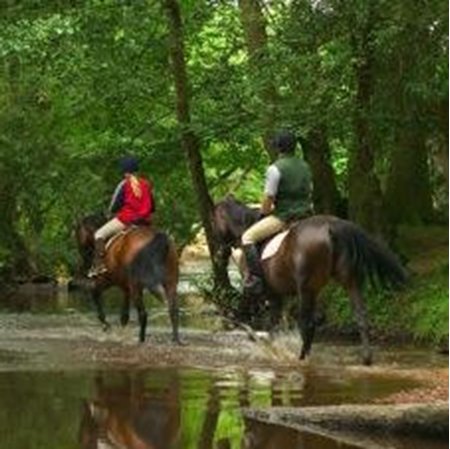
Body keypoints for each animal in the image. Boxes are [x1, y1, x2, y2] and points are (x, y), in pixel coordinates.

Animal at [75, 214, 179, 344]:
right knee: (173, 309)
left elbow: (94, 292)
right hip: (170, 282)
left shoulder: (106, 280)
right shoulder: (125, 287)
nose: (83, 263)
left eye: (77, 235)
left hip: (136, 286)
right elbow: (124, 315)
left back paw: (141, 340)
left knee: (143, 314)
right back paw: (176, 339)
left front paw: (106, 325)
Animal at [213, 196, 406, 364]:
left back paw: (301, 358)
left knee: (308, 323)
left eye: (213, 223)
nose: (218, 255)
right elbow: (273, 326)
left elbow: (249, 316)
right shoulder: (277, 295)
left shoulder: (258, 292)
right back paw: (366, 358)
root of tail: (332, 225)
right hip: (344, 282)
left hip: (306, 289)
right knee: (360, 316)